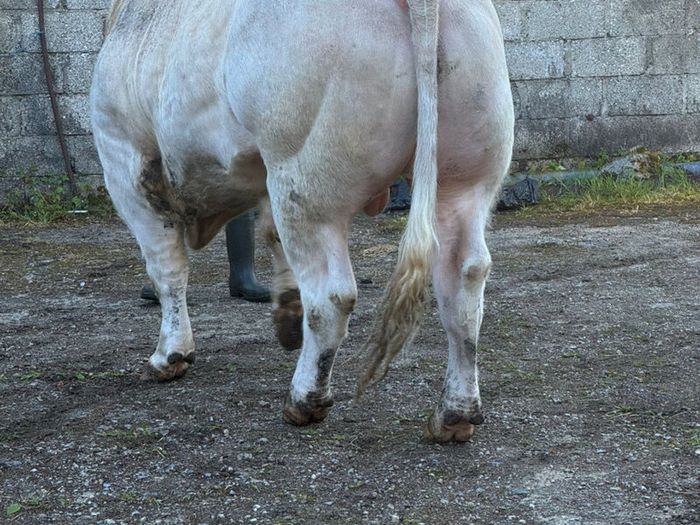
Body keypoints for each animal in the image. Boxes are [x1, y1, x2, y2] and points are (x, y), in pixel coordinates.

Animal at [90, 0, 514, 443]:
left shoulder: (125, 159)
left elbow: (166, 269)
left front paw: (169, 354)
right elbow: (271, 236)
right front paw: (287, 314)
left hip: (304, 179)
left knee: (332, 295)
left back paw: (305, 399)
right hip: (466, 177)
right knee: (463, 281)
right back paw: (454, 413)